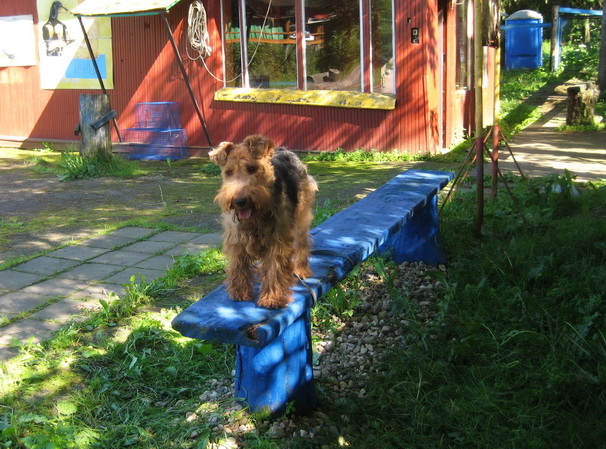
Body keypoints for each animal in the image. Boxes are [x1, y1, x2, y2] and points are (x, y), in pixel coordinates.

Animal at [209, 135, 318, 309]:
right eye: (229, 172)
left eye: (252, 168)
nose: (239, 201)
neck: (256, 218)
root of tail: (284, 150)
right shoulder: (237, 240)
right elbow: (238, 267)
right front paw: (240, 293)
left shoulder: (277, 242)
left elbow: (274, 270)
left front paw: (272, 298)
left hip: (301, 217)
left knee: (302, 245)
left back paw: (302, 270)